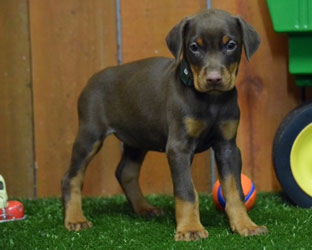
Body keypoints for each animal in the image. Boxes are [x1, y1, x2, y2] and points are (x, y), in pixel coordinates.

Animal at [62, 8, 268, 241]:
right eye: (194, 47)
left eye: (231, 45)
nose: (214, 79)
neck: (211, 102)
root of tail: (91, 80)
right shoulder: (179, 147)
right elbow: (187, 191)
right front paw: (190, 229)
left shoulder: (228, 146)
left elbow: (235, 191)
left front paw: (245, 225)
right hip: (90, 134)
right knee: (72, 177)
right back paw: (76, 219)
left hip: (137, 138)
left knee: (126, 172)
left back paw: (144, 208)